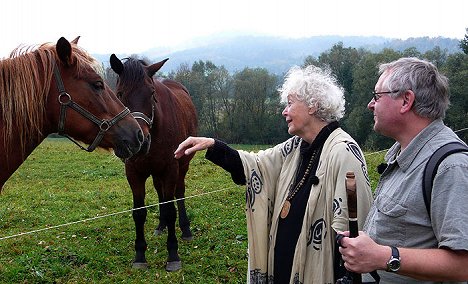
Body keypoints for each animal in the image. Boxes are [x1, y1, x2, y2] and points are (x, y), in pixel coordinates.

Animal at [109, 54, 197, 272]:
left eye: (151, 93)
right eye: (119, 93)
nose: (139, 141)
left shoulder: (171, 169)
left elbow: (171, 209)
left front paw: (173, 254)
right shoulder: (134, 173)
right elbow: (139, 212)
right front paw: (140, 255)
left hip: (182, 167)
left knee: (179, 193)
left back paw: (185, 229)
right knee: (160, 192)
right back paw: (161, 226)